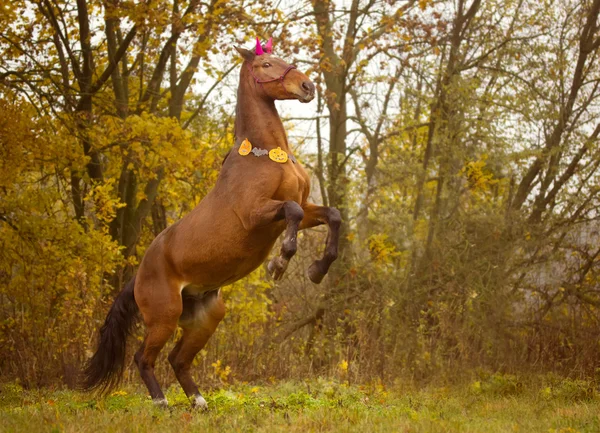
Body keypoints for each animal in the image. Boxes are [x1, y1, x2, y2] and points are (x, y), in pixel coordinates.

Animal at [81, 37, 340, 408]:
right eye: (266, 65)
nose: (307, 87)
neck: (267, 156)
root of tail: (138, 276)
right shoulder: (255, 215)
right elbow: (291, 210)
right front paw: (279, 263)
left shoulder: (305, 208)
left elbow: (331, 215)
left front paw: (317, 270)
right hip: (164, 315)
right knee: (143, 358)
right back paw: (161, 403)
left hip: (207, 317)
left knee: (177, 359)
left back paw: (199, 402)